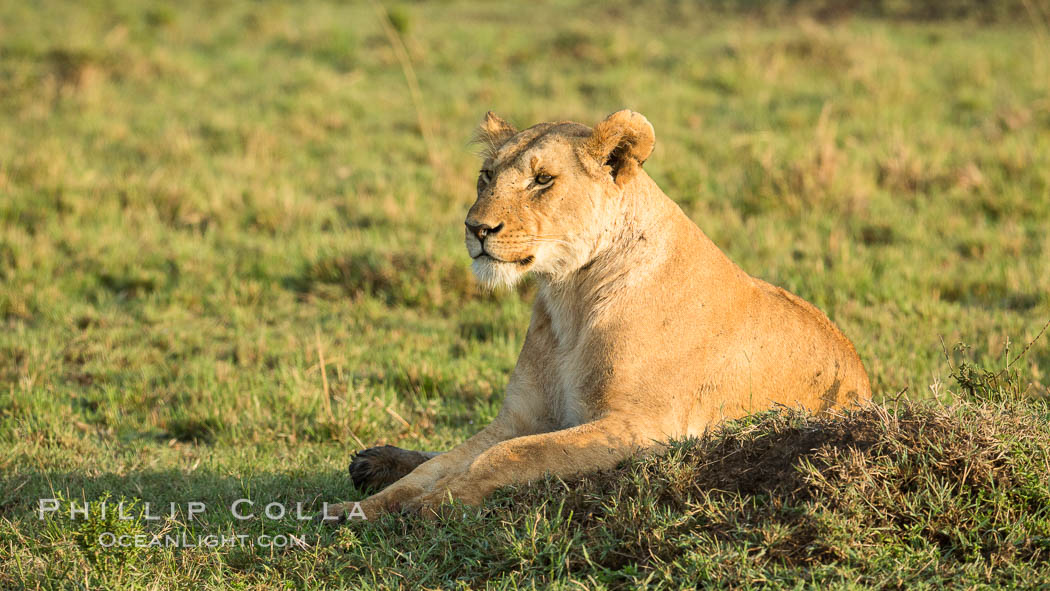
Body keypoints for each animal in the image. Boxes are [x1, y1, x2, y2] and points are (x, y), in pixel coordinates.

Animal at [323, 109, 873, 522]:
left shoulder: (643, 428)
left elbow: (510, 455)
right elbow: (449, 461)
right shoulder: (519, 416)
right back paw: (373, 464)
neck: (570, 295)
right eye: (486, 176)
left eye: (542, 180)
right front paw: (360, 509)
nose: (476, 228)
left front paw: (435, 504)